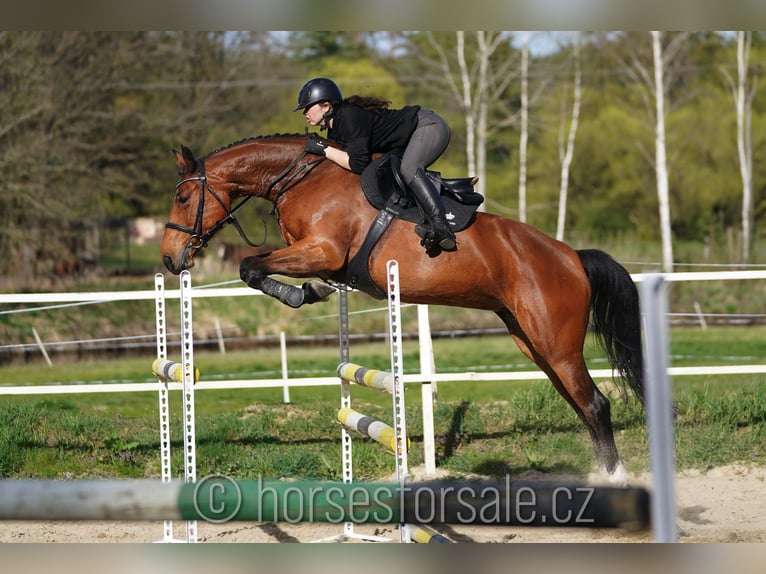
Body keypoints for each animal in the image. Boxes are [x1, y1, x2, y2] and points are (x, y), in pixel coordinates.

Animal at [164, 133, 648, 484]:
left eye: (183, 200)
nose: (170, 260)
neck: (300, 179)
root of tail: (572, 256)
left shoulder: (321, 250)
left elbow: (249, 266)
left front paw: (304, 293)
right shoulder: (309, 252)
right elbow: (254, 266)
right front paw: (312, 291)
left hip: (555, 341)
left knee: (595, 403)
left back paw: (615, 479)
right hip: (532, 342)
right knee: (580, 403)